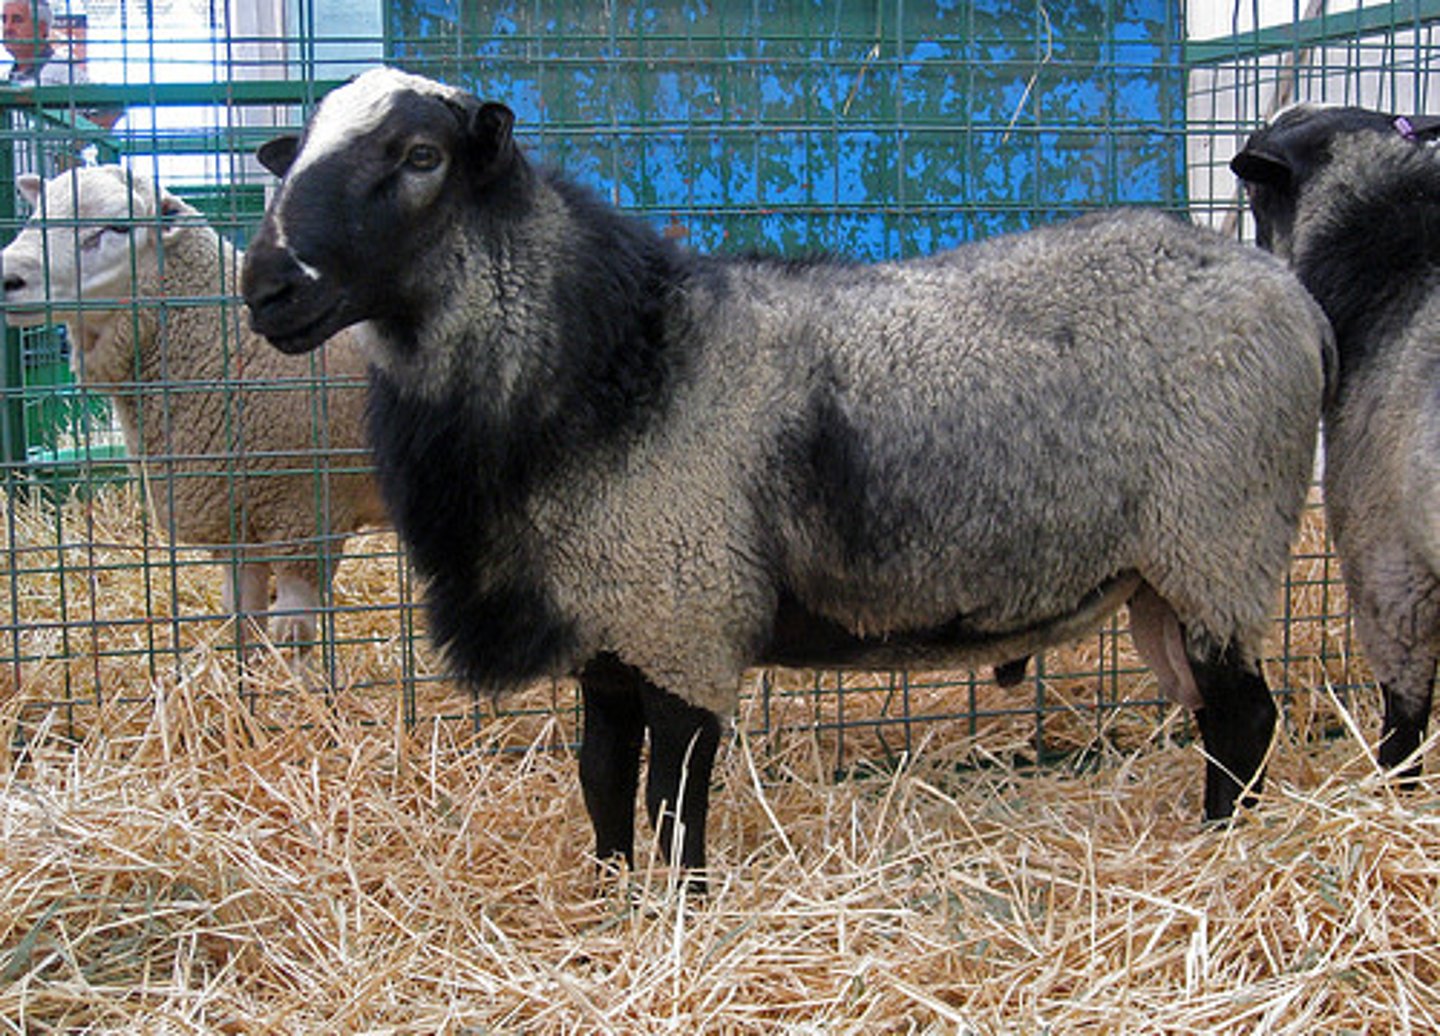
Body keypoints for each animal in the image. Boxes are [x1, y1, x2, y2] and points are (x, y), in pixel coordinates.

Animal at [1, 165, 387, 646]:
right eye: (35, 216)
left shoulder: (305, 517)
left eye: (117, 227)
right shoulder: (236, 521)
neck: (226, 343)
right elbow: (241, 618)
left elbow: (290, 633)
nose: (7, 277)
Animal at [240, 68, 1333, 879]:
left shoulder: (684, 615)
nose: (266, 288)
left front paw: (679, 912)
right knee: (1215, 713)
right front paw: (609, 900)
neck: (615, 357)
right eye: (291, 156)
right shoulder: (614, 626)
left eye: (421, 157)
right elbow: (602, 778)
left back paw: (1222, 851)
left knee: (1245, 716)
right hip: (1166, 577)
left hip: (1219, 542)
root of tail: (1287, 292)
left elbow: (673, 796)